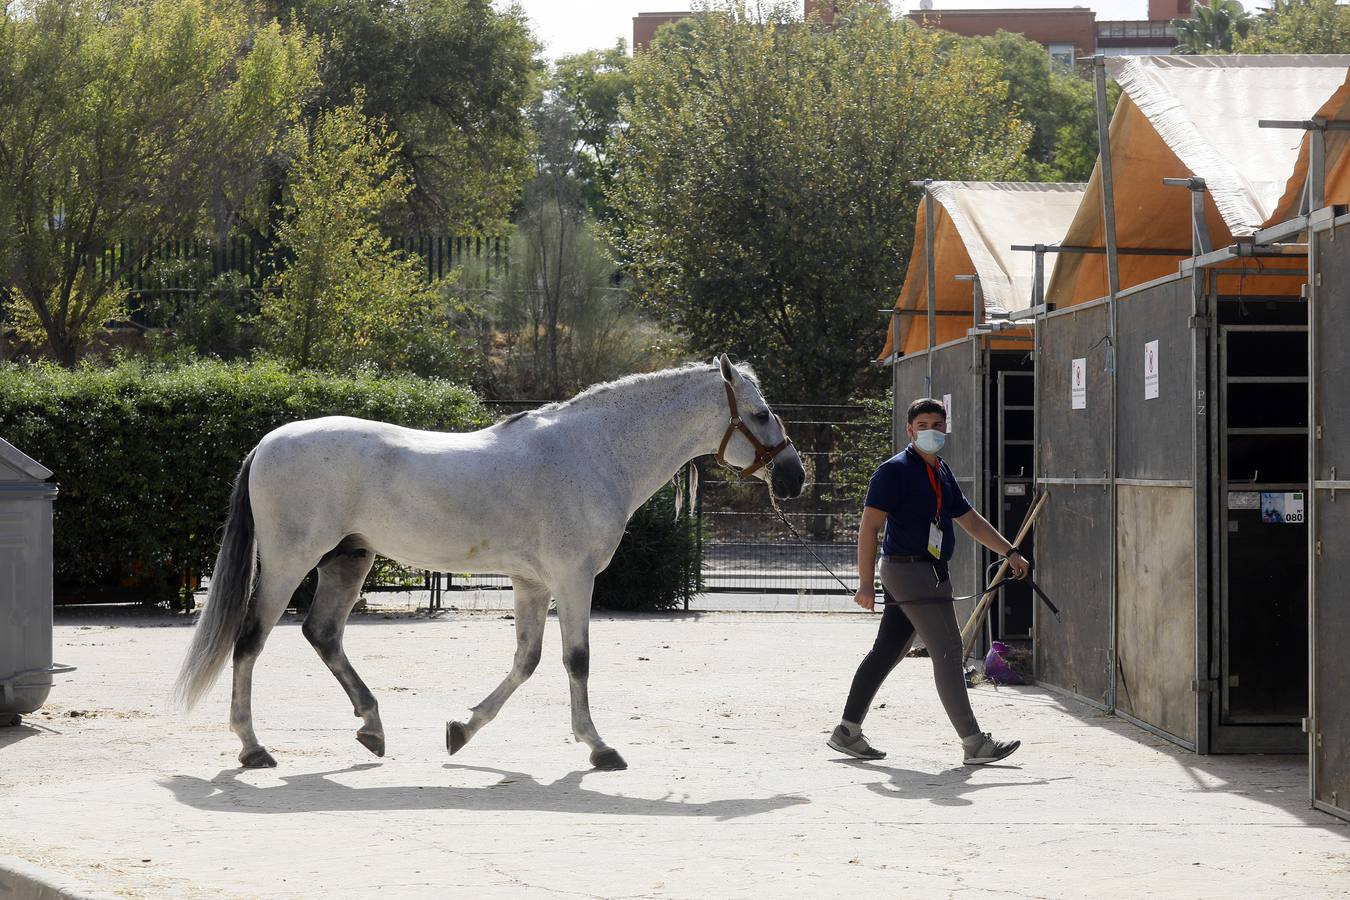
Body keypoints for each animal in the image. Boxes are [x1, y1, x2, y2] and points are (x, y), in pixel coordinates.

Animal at [168, 350, 799, 766]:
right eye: (761, 414)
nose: (794, 477)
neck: (592, 451)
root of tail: (267, 442)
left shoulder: (532, 583)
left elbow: (527, 662)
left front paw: (462, 731)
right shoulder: (573, 580)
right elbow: (576, 661)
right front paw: (598, 747)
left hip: (348, 561)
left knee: (322, 634)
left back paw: (372, 727)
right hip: (287, 563)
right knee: (250, 641)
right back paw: (253, 748)